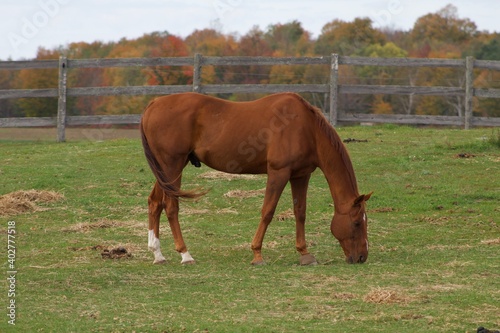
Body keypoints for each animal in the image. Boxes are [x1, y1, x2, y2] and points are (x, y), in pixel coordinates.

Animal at [141, 92, 372, 266]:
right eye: (356, 223)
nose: (362, 257)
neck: (305, 127)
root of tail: (154, 104)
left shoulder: (300, 175)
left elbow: (300, 212)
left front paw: (304, 253)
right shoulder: (279, 173)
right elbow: (267, 211)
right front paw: (257, 254)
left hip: (166, 170)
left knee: (155, 202)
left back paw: (158, 253)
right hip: (172, 166)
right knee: (171, 206)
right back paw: (185, 254)